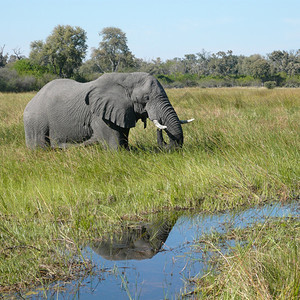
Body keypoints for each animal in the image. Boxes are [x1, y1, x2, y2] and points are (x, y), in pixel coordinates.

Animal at [22, 71, 192, 150]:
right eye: (146, 98)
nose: (159, 127)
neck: (126, 77)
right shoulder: (99, 116)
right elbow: (114, 146)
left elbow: (123, 137)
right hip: (35, 121)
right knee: (39, 145)